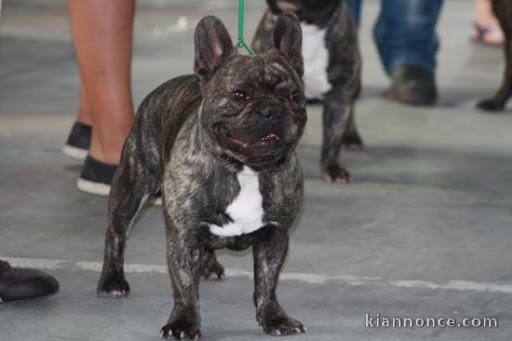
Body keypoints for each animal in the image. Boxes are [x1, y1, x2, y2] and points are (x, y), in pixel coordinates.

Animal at [98, 14, 310, 338]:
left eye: (295, 96)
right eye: (240, 95)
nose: (273, 109)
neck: (245, 169)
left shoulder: (275, 236)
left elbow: (267, 281)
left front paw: (274, 318)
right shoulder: (183, 235)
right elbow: (185, 287)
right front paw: (183, 323)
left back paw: (208, 265)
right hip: (132, 187)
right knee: (116, 232)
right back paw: (112, 281)